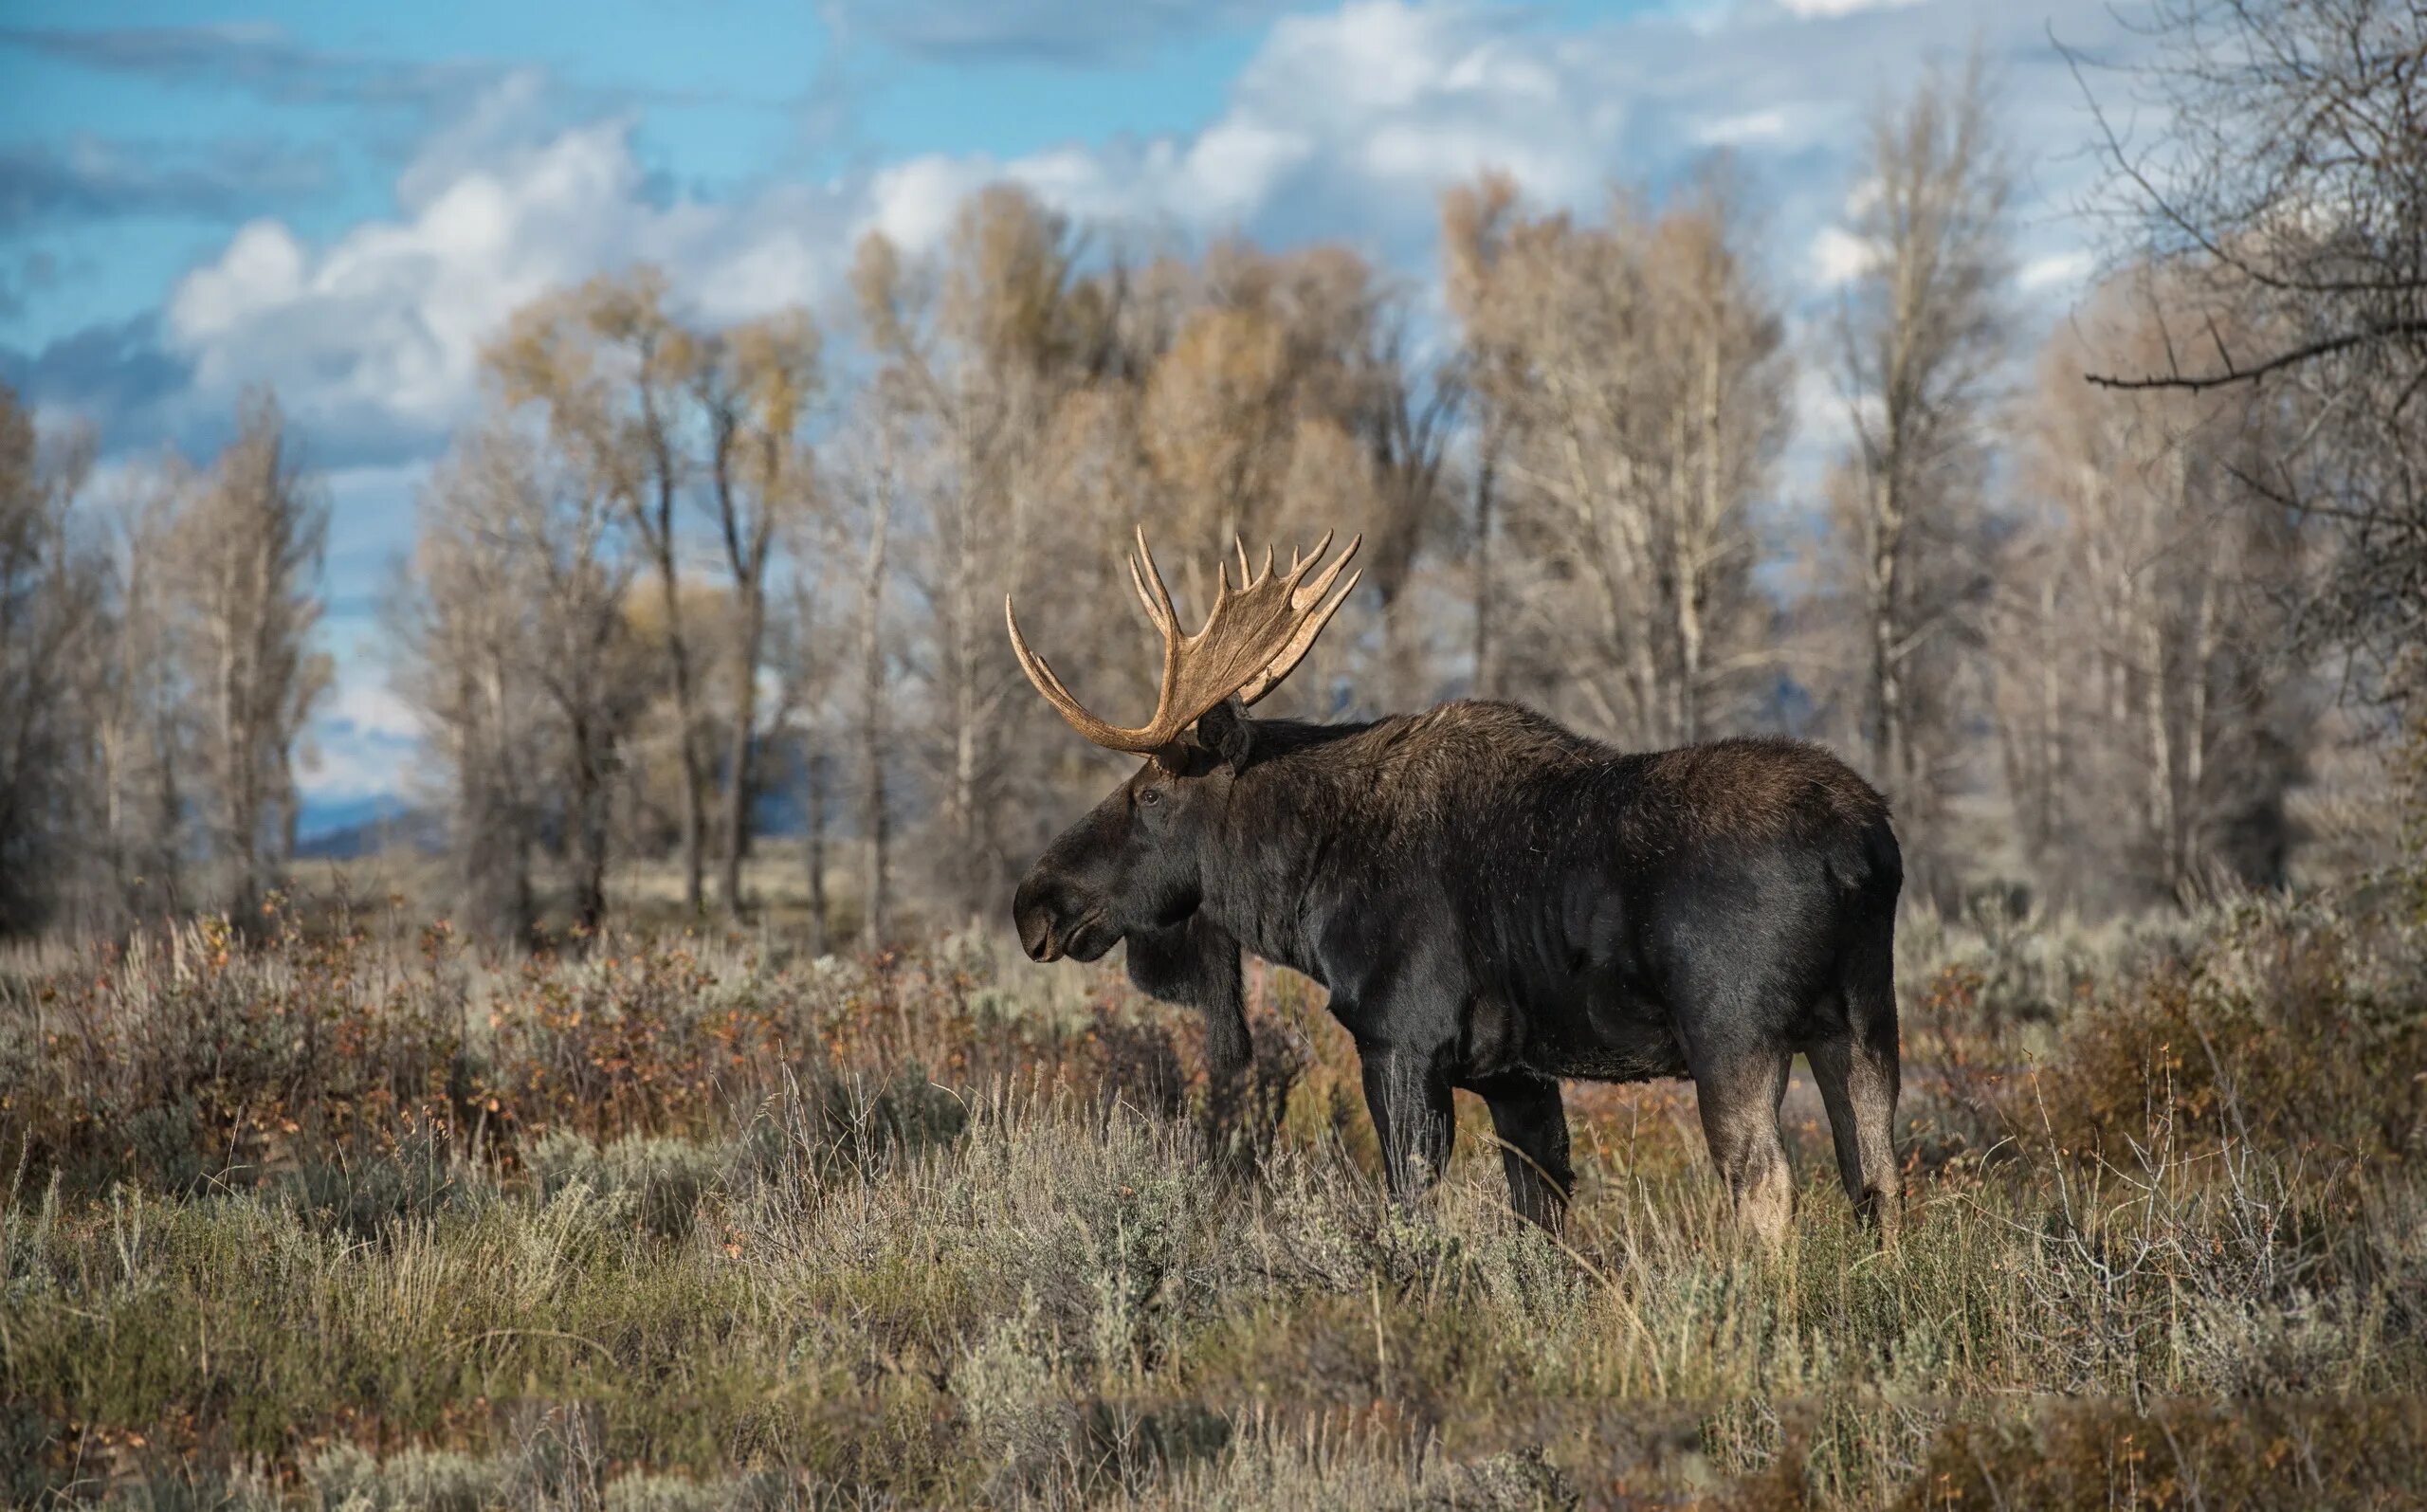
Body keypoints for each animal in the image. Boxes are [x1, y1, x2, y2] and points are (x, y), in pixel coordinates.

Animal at [1004, 531, 1892, 1242]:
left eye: (1151, 791)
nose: (1033, 903)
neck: (1304, 892)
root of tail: (1863, 847)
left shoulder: (1400, 1041)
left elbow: (1412, 1207)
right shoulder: (1517, 1074)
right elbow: (1541, 1220)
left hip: (1736, 1032)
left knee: (1768, 1186)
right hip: (1861, 1021)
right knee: (1874, 1178)